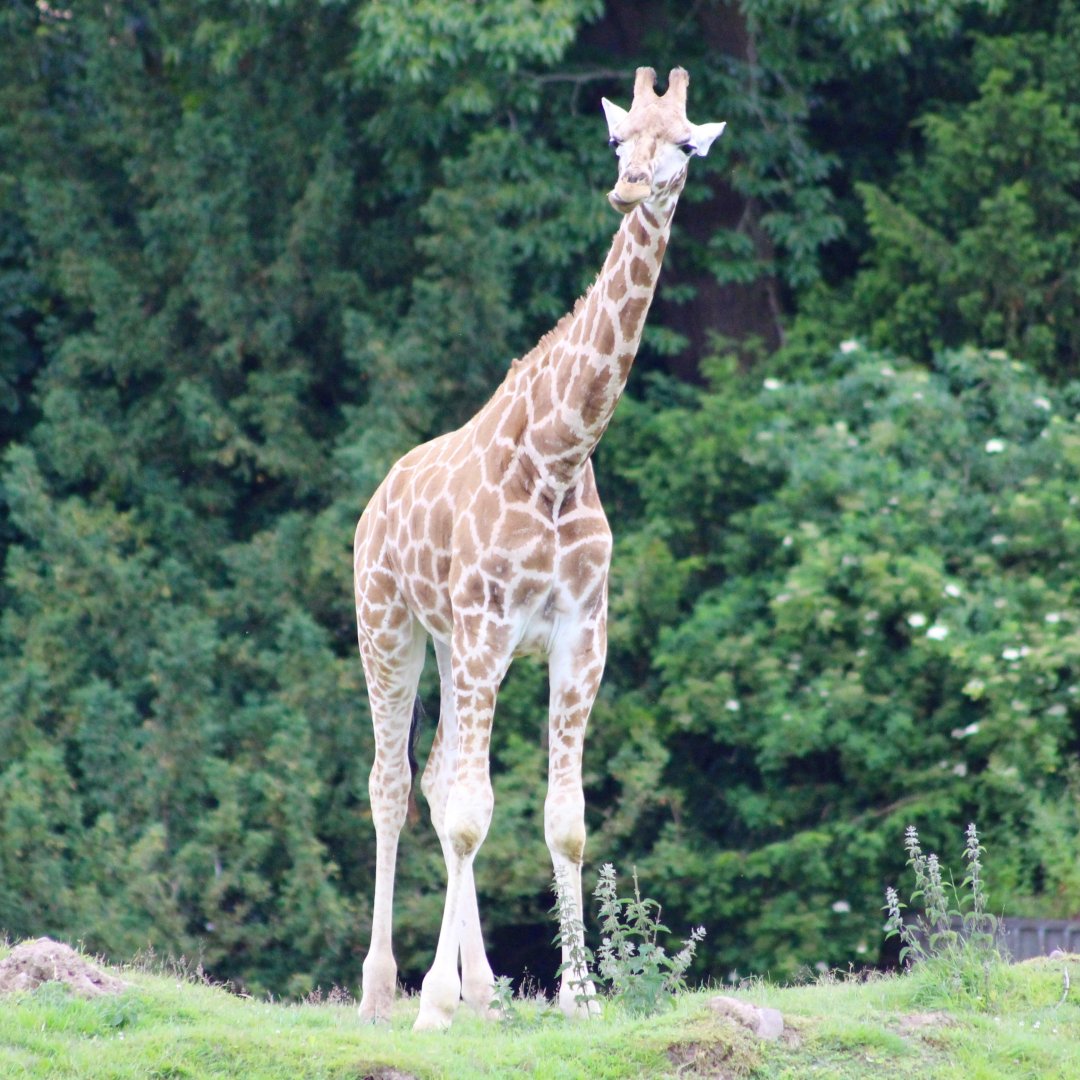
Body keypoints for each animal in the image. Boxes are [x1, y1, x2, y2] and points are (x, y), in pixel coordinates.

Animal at [353, 66, 725, 1031]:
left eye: (684, 144)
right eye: (616, 138)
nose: (629, 188)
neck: (559, 454)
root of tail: (373, 503)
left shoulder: (579, 636)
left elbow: (563, 819)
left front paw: (580, 994)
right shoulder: (487, 626)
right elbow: (471, 813)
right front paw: (435, 1002)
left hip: (453, 647)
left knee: (436, 779)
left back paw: (482, 990)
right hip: (391, 629)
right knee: (393, 785)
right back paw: (383, 991)